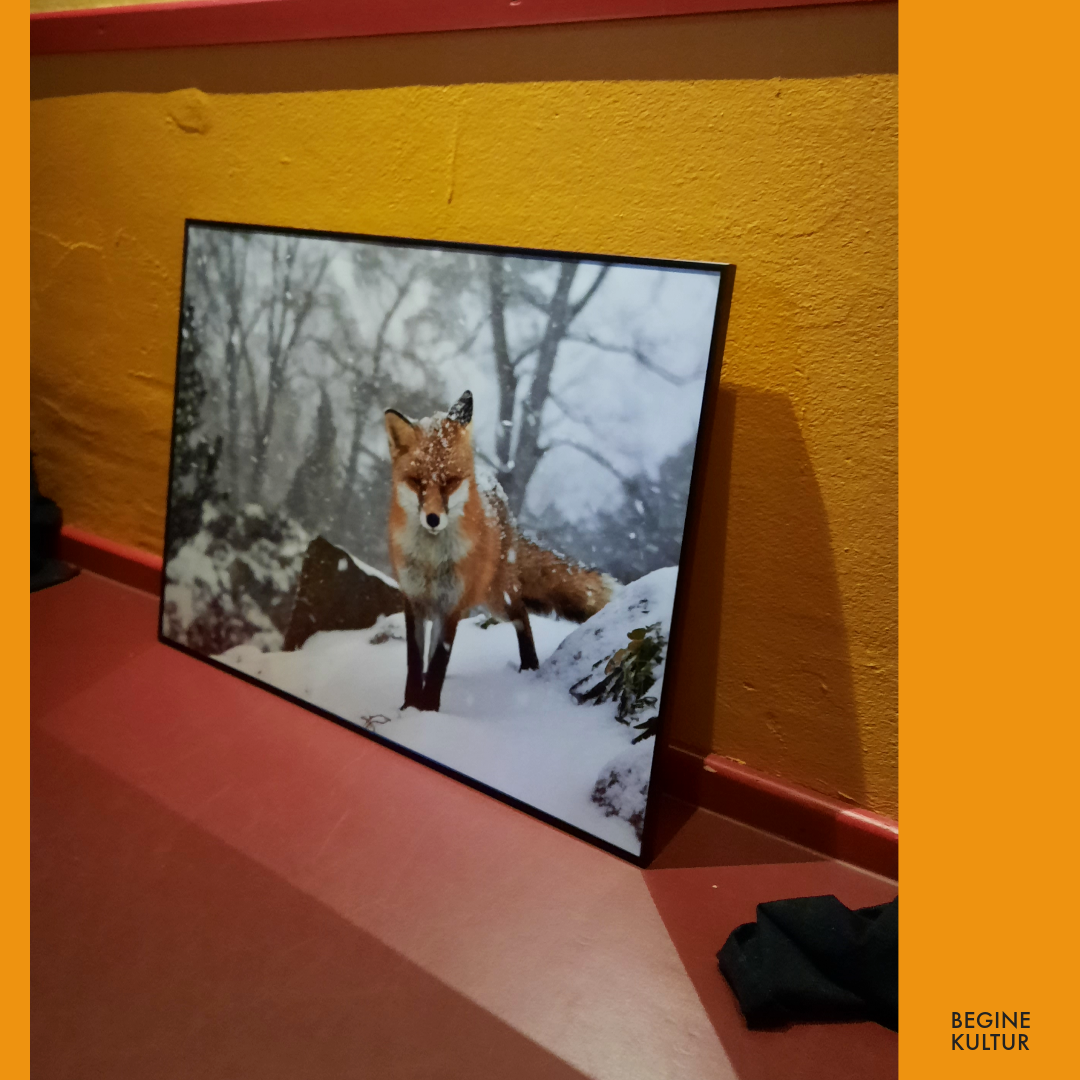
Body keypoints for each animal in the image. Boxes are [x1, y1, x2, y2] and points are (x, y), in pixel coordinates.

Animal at [384, 390, 617, 712]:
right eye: (417, 482)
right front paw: (410, 708)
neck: (431, 561)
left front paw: (428, 710)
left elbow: (438, 663)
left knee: (522, 614)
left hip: (496, 598)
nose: (432, 519)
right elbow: (416, 663)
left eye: (450, 482)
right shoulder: (414, 601)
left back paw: (529, 666)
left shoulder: (451, 606)